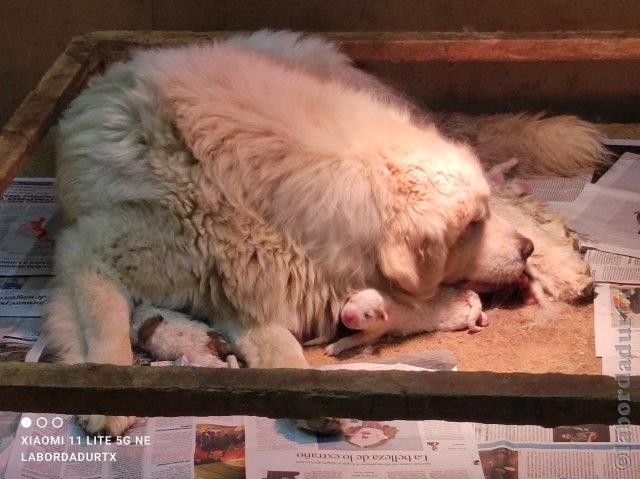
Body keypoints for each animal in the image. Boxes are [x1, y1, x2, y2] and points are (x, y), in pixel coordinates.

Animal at [324, 288, 490, 356]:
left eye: (367, 315)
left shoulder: (376, 331)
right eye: (352, 300)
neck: (388, 302)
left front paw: (333, 347)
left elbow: (355, 339)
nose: (347, 316)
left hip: (457, 319)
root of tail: (465, 294)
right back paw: (484, 319)